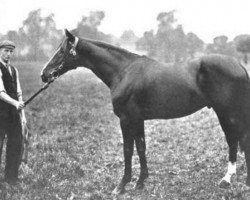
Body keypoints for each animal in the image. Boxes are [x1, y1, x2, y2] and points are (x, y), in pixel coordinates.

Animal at [40, 29, 250, 194]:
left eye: (62, 51)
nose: (44, 74)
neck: (123, 71)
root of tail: (239, 65)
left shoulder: (126, 119)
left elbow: (127, 150)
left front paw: (121, 186)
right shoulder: (137, 119)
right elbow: (141, 148)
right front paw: (140, 182)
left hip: (228, 113)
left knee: (238, 140)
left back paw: (232, 180)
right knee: (234, 141)